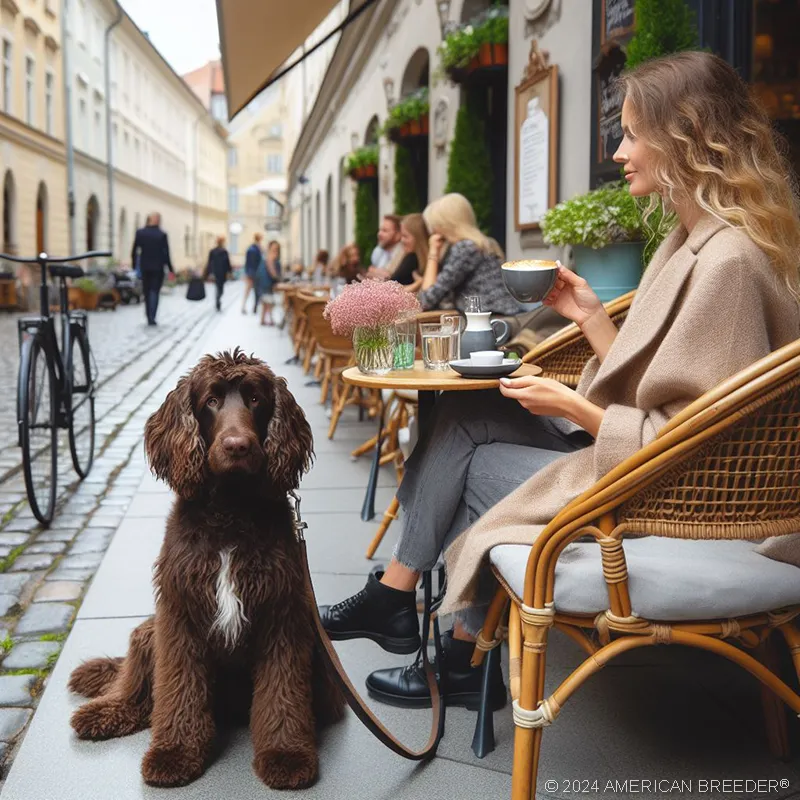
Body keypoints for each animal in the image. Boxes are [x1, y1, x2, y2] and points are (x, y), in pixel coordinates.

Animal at [68, 348, 344, 788]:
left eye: (255, 398)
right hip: (149, 629)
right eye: (210, 401)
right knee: (136, 690)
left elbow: (282, 693)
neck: (229, 512)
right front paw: (175, 753)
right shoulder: (179, 613)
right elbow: (179, 691)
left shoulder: (283, 617)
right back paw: (104, 712)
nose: (238, 446)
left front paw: (285, 755)